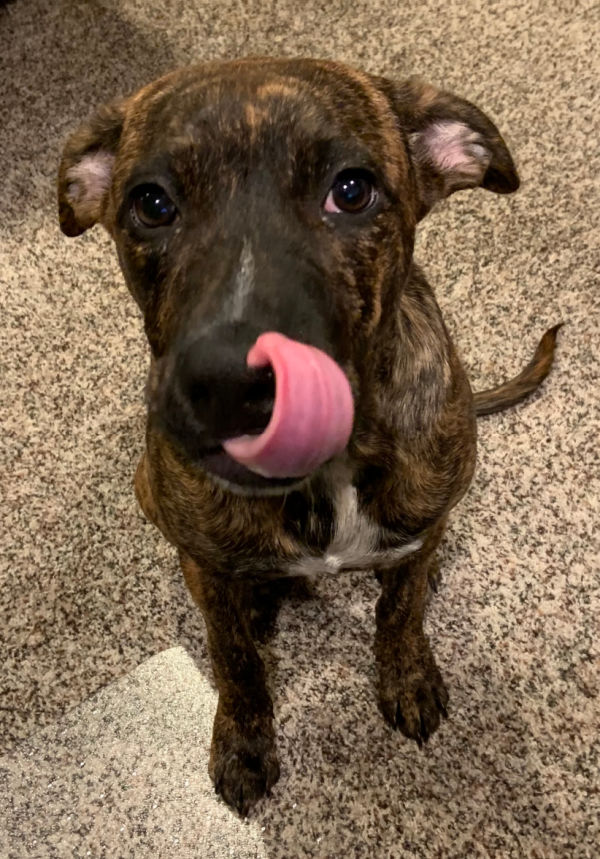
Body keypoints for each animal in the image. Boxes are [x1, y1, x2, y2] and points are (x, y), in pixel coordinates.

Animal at [58, 57, 560, 816]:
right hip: (150, 490)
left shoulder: (419, 524)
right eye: (152, 203)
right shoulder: (206, 566)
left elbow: (401, 611)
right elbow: (234, 660)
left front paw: (407, 673)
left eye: (351, 190)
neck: (331, 474)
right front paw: (243, 743)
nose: (231, 384)